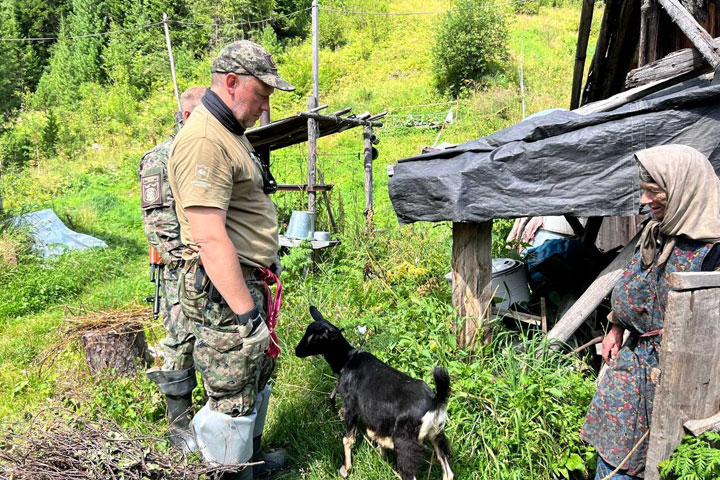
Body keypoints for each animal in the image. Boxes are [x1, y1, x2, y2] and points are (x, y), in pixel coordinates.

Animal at [294, 308, 452, 480]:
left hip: (406, 441)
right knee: (448, 472)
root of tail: (434, 403)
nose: (297, 351)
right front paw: (379, 452)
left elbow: (347, 439)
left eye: (314, 338)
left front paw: (346, 469)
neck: (348, 360)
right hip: (437, 434)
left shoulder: (351, 405)